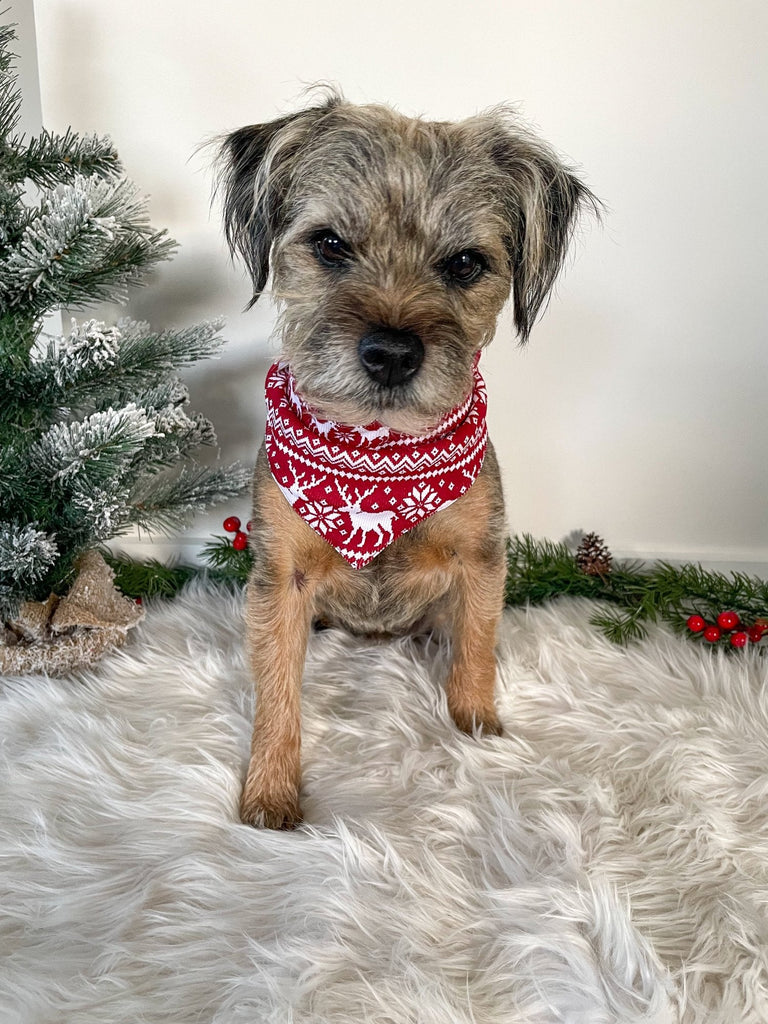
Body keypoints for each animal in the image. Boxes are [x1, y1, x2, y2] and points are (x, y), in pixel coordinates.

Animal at [219, 92, 598, 827]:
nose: (392, 353)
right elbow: (277, 692)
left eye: (465, 263)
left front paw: (477, 726)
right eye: (329, 244)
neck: (381, 455)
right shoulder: (281, 580)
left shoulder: (481, 559)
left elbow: (477, 646)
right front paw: (271, 791)